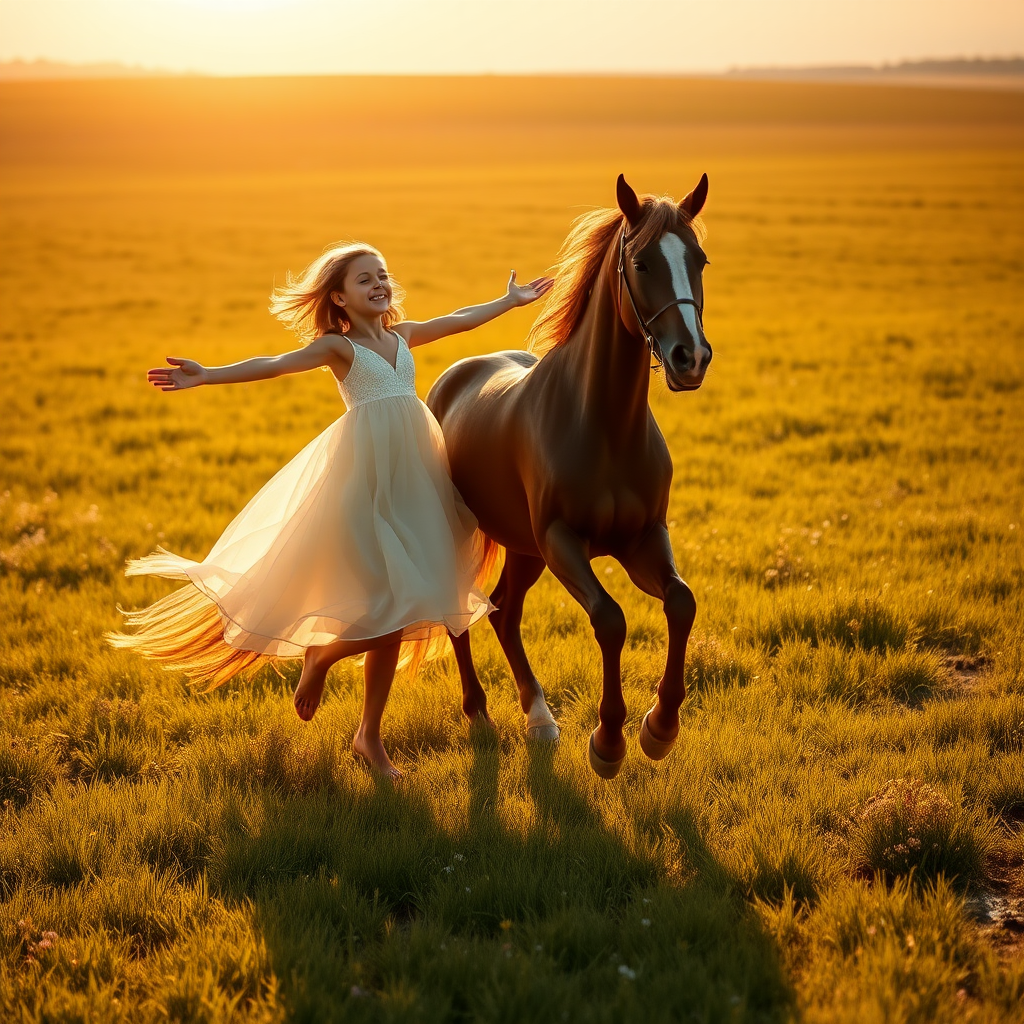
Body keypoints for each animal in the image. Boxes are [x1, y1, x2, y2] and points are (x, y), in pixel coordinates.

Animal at [425, 174, 712, 774]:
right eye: (642, 262)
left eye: (699, 259)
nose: (690, 357)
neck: (604, 427)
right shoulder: (562, 541)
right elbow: (610, 619)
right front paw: (609, 741)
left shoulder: (642, 539)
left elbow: (681, 603)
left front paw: (660, 727)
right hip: (489, 540)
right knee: (467, 614)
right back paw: (479, 713)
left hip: (523, 549)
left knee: (505, 613)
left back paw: (539, 718)